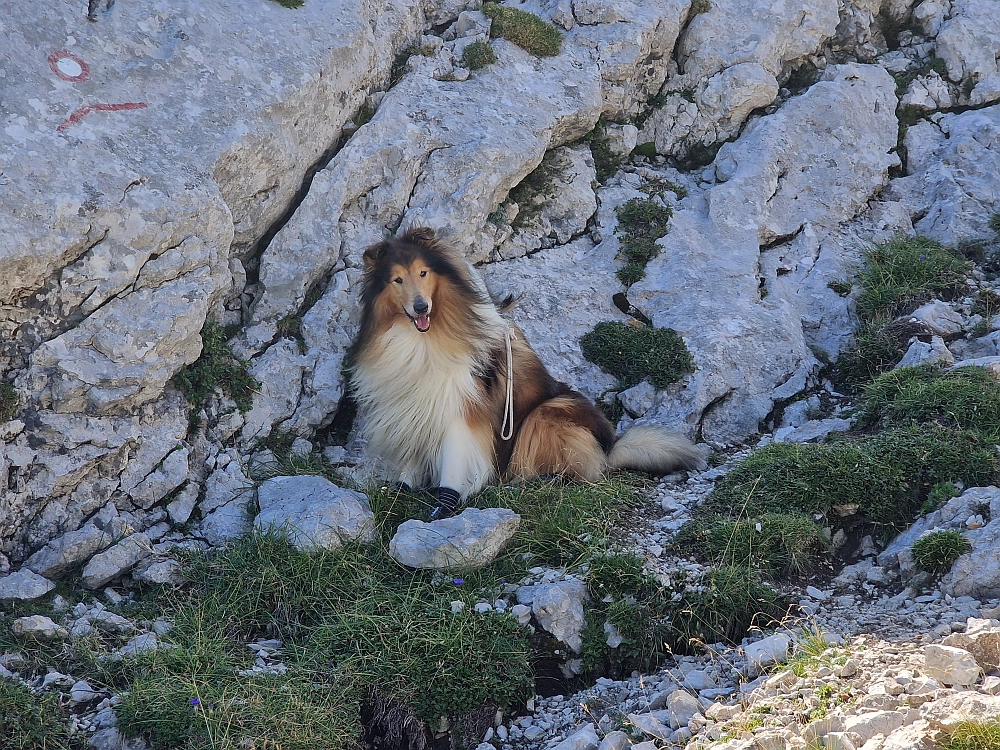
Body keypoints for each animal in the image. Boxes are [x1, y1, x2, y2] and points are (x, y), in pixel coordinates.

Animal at [348, 229, 708, 520]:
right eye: (397, 280)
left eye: (423, 273)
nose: (421, 307)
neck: (424, 337)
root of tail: (610, 446)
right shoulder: (413, 403)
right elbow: (413, 454)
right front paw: (401, 487)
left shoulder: (462, 410)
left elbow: (455, 458)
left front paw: (445, 502)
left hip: (547, 412)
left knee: (585, 469)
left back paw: (544, 478)